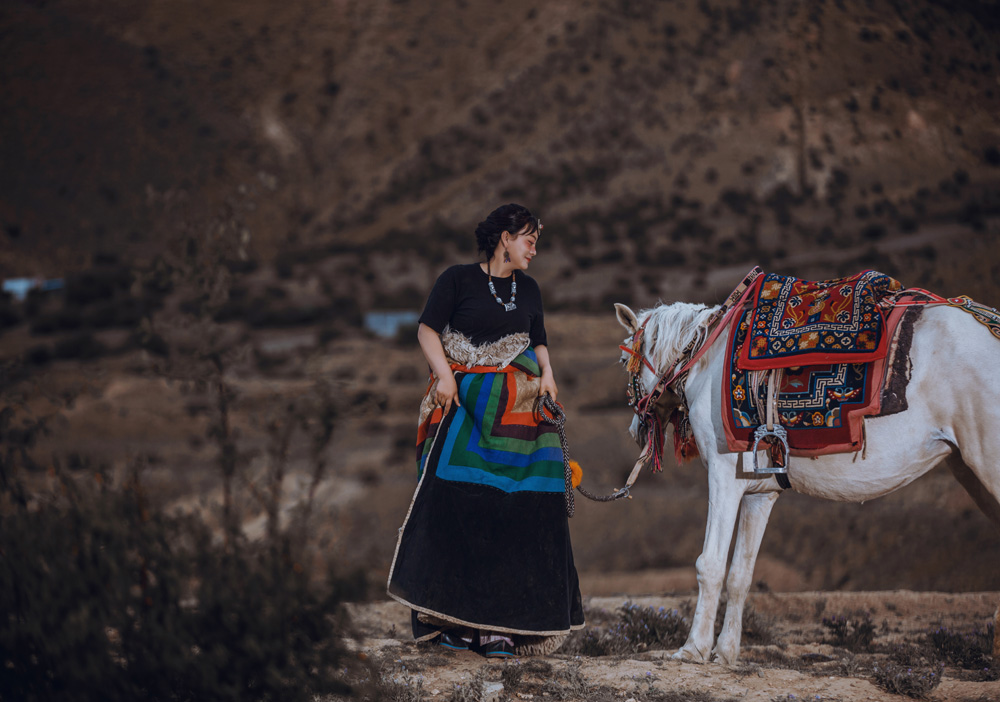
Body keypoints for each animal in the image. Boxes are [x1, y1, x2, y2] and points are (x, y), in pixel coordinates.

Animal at [612, 302, 1000, 664]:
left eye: (623, 360)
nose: (633, 431)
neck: (705, 359)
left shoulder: (723, 479)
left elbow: (710, 565)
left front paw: (692, 649)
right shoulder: (759, 493)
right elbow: (741, 574)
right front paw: (726, 652)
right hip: (972, 473)